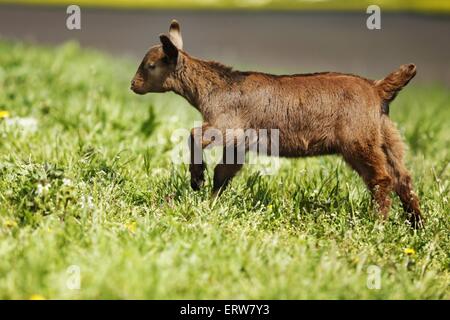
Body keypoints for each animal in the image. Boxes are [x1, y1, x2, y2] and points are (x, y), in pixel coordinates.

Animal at [132, 19, 424, 228]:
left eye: (150, 65)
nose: (133, 85)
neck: (218, 88)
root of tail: (377, 89)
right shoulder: (239, 143)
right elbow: (223, 173)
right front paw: (210, 204)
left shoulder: (227, 126)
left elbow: (193, 135)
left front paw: (196, 180)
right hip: (386, 135)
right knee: (403, 178)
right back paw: (416, 225)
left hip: (358, 140)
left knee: (382, 178)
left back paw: (379, 223)